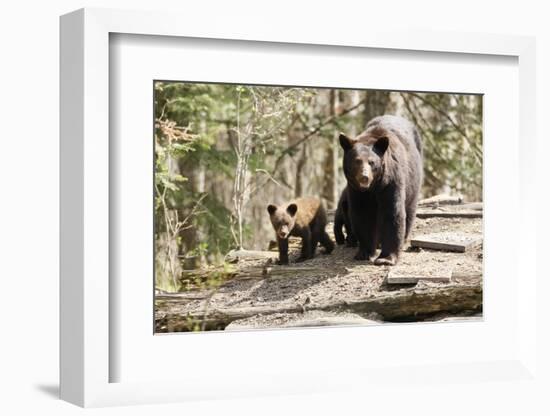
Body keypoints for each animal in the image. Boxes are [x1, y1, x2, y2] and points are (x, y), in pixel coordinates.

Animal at [338, 114, 424, 264]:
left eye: (372, 162)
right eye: (357, 161)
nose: (364, 177)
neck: (373, 187)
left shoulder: (391, 181)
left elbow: (392, 212)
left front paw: (386, 258)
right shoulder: (356, 190)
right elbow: (362, 214)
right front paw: (364, 253)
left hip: (413, 182)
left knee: (409, 209)